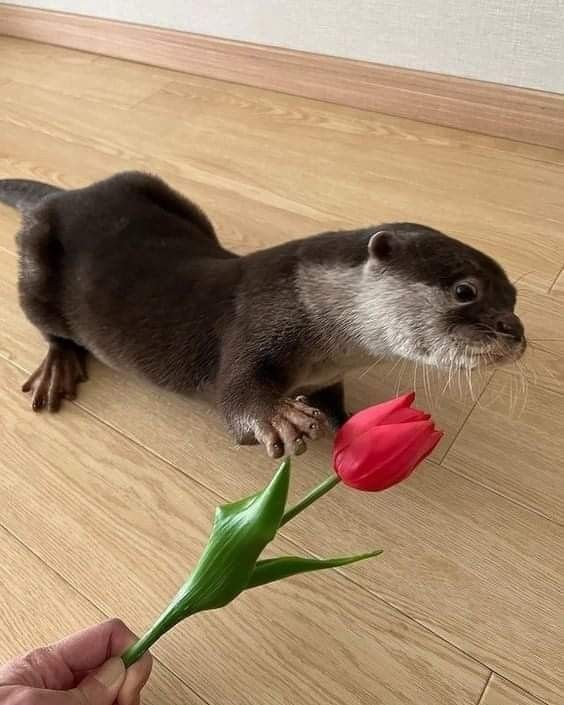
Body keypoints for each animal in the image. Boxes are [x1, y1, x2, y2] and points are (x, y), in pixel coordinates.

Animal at [0, 171, 528, 456]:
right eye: (465, 291)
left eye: (514, 298)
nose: (516, 333)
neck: (311, 305)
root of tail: (64, 195)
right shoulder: (255, 320)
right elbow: (234, 392)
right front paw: (279, 419)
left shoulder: (328, 372)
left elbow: (334, 402)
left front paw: (357, 423)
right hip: (35, 258)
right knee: (49, 326)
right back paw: (57, 367)